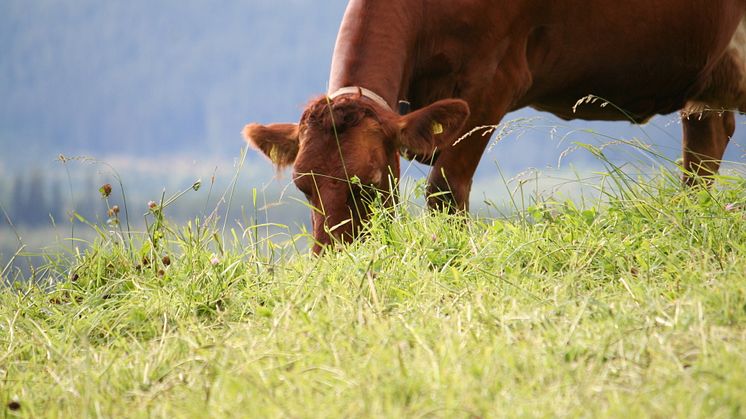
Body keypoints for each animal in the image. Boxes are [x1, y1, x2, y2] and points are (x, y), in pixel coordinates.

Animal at [246, 0, 744, 254]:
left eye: (367, 183)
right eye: (303, 185)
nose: (337, 261)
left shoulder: (492, 84)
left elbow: (445, 193)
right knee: (704, 147)